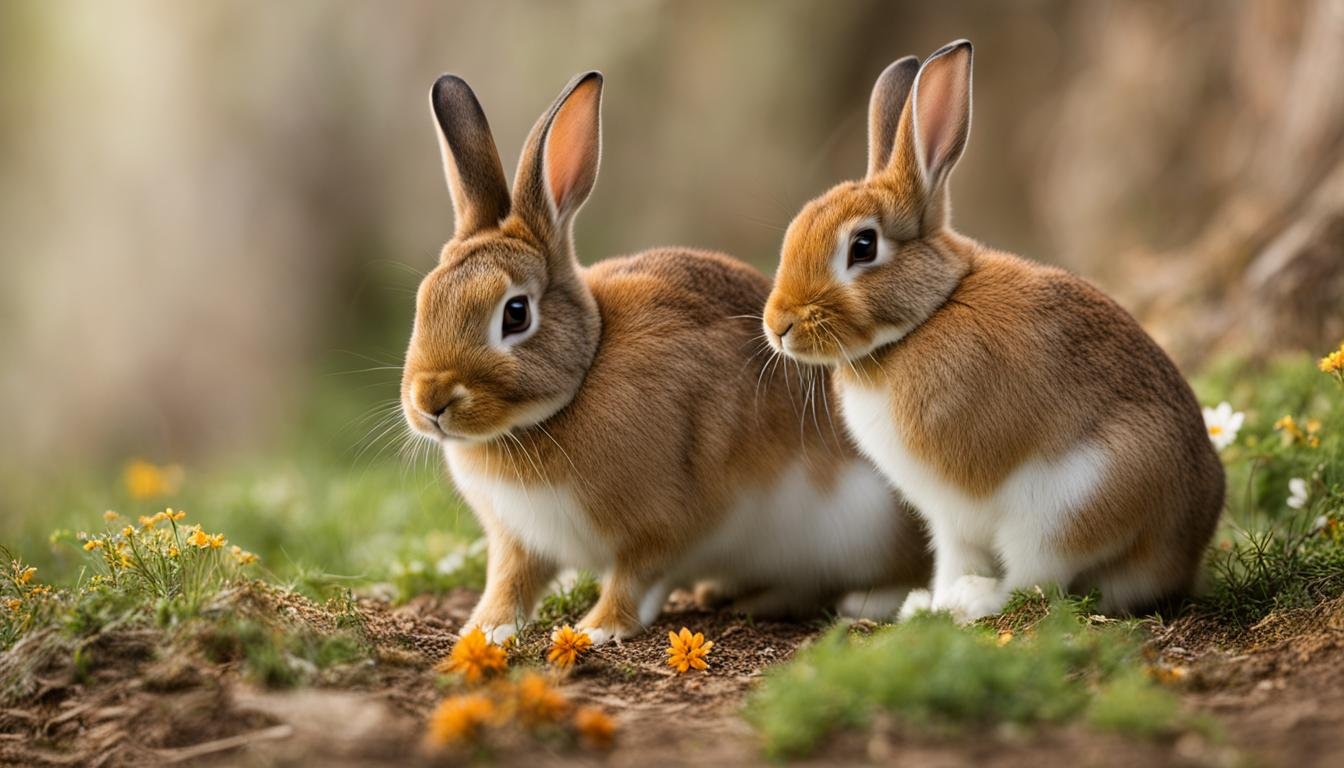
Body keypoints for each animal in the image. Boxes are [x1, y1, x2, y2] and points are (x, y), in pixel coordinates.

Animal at [400, 71, 930, 645]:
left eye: (515, 314)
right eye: (424, 300)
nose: (430, 402)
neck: (576, 383)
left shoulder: (664, 525)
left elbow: (636, 578)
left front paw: (598, 629)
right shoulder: (517, 541)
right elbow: (511, 581)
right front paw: (486, 629)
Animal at [761, 41, 1224, 623]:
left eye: (862, 246)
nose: (778, 325)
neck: (927, 316)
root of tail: (1179, 552)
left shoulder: (967, 496)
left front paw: (940, 605)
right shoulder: (948, 518)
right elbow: (951, 557)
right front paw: (925, 604)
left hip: (1064, 507)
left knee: (1036, 583)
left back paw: (975, 602)